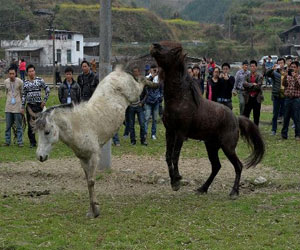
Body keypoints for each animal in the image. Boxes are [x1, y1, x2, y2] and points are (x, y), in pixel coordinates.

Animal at [35, 67, 152, 218]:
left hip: (134, 94)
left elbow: (91, 181)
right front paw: (93, 210)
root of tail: (118, 72)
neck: (78, 126)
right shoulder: (83, 158)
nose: (40, 156)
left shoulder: (94, 156)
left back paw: (152, 80)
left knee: (141, 83)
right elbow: (88, 182)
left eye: (47, 132)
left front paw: (95, 211)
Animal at [151, 41, 264, 197]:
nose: (154, 46)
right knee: (216, 166)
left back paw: (234, 192)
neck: (179, 100)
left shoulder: (180, 133)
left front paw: (177, 180)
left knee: (238, 166)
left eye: (173, 51)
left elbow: (175, 155)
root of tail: (236, 119)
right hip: (211, 145)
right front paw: (174, 182)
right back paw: (202, 188)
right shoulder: (170, 131)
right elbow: (168, 156)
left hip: (227, 147)